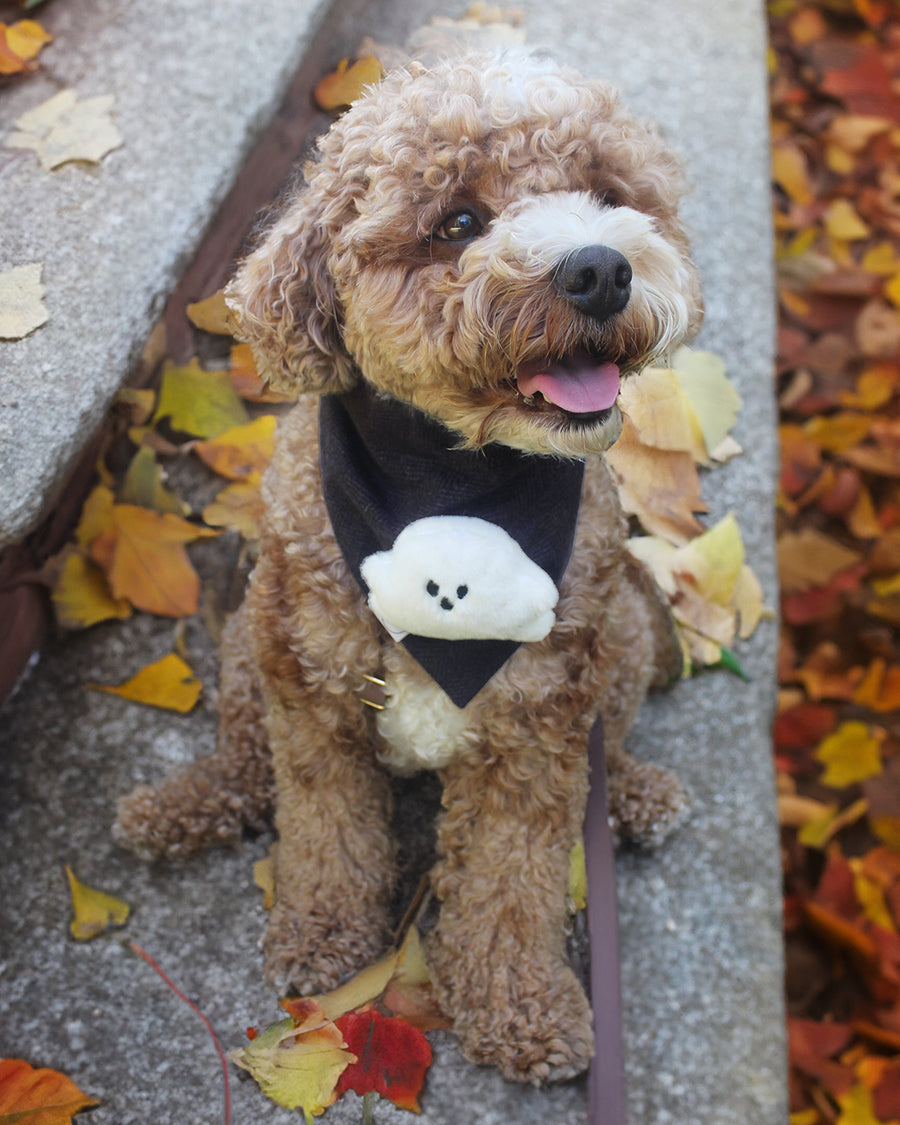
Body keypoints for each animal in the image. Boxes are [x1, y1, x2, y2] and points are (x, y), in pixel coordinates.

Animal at [114, 50, 702, 1080]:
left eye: (606, 193)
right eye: (458, 222)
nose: (600, 267)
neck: (452, 477)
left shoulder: (538, 728)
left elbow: (513, 878)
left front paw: (522, 1004)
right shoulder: (313, 691)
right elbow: (325, 829)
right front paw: (322, 935)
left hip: (622, 638)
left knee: (616, 740)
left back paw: (632, 793)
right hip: (250, 642)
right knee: (244, 759)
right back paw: (184, 805)